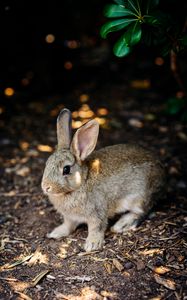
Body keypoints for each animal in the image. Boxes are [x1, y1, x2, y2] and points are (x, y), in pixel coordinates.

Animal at [41, 108, 165, 251]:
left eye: (66, 169)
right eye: (47, 164)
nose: (46, 187)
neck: (81, 182)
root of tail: (162, 173)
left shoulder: (97, 213)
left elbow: (96, 228)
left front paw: (92, 244)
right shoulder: (70, 217)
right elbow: (68, 225)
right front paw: (56, 233)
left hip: (139, 198)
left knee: (142, 211)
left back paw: (122, 224)